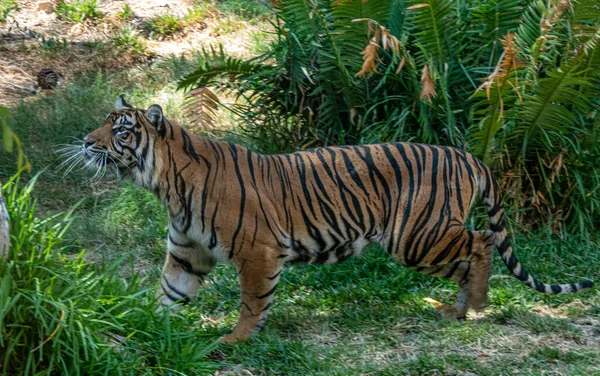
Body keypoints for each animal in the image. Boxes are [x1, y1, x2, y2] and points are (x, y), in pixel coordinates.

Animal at [74, 96, 592, 344]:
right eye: (105, 123)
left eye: (122, 130)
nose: (84, 141)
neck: (166, 184)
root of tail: (467, 155)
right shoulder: (187, 252)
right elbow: (168, 294)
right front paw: (140, 324)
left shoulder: (257, 251)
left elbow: (251, 302)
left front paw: (236, 340)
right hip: (425, 238)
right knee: (471, 252)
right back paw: (458, 309)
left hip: (416, 236)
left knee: (481, 241)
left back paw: (476, 305)